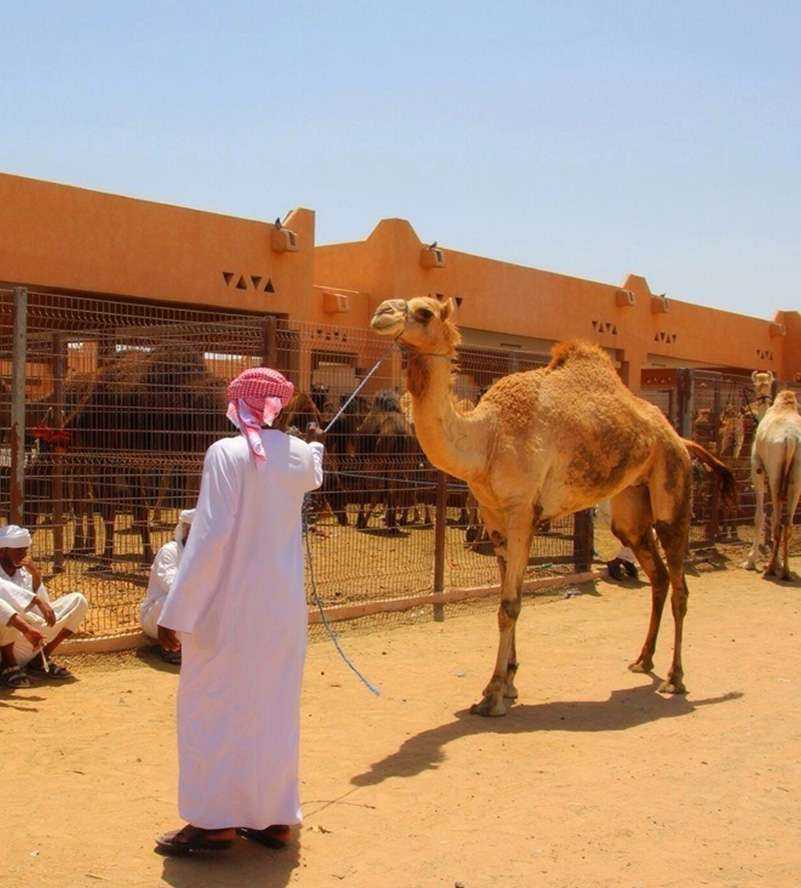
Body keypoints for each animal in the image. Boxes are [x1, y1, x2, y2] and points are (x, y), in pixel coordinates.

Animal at [370, 296, 735, 716]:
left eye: (424, 312)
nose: (381, 312)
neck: (487, 438)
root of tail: (680, 438)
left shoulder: (521, 511)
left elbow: (509, 604)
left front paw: (493, 694)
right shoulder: (494, 516)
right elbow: (506, 598)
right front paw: (509, 682)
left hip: (673, 490)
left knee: (679, 585)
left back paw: (675, 678)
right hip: (631, 506)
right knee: (656, 575)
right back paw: (643, 661)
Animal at [742, 390, 801, 579]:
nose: (744, 410)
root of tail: (792, 439)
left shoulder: (757, 466)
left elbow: (760, 515)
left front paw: (750, 561)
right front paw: (778, 563)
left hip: (774, 470)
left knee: (777, 521)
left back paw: (770, 569)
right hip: (795, 478)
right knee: (787, 522)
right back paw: (785, 570)